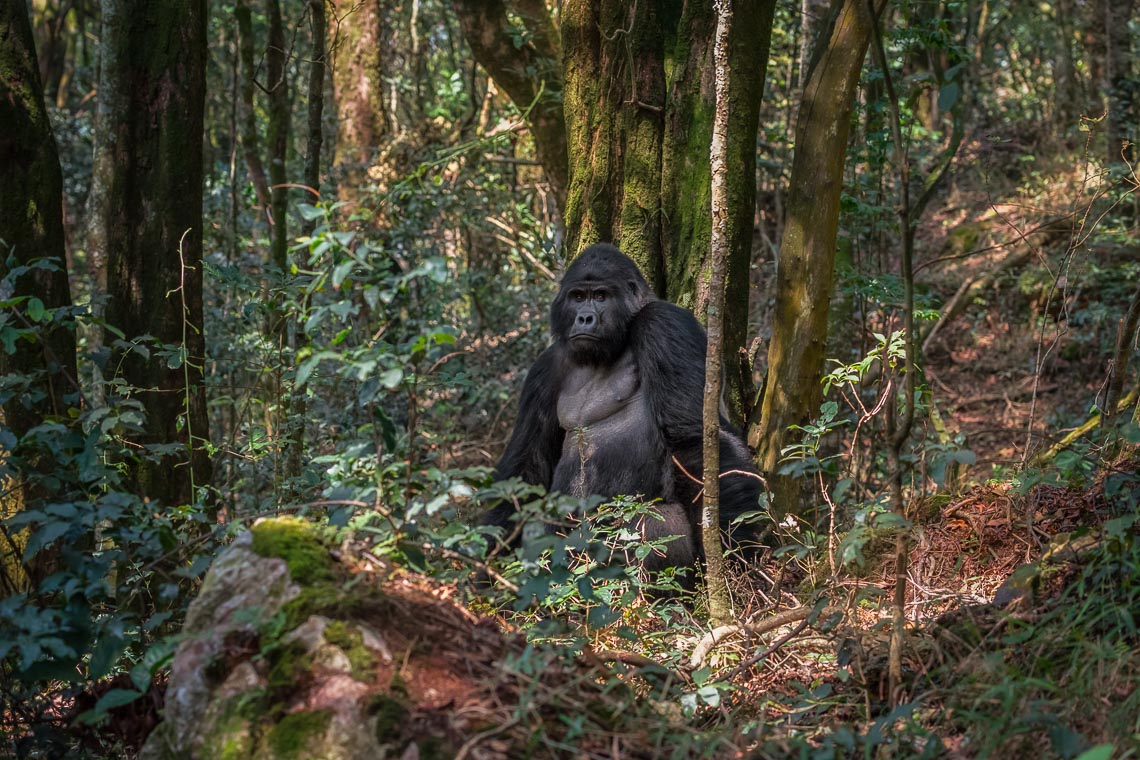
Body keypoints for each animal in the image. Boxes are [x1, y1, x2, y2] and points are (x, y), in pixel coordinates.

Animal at [483, 243, 766, 583]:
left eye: (601, 296)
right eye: (577, 297)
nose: (585, 318)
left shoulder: (664, 323)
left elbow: (693, 438)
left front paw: (737, 556)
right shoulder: (545, 368)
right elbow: (528, 465)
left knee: (657, 524)